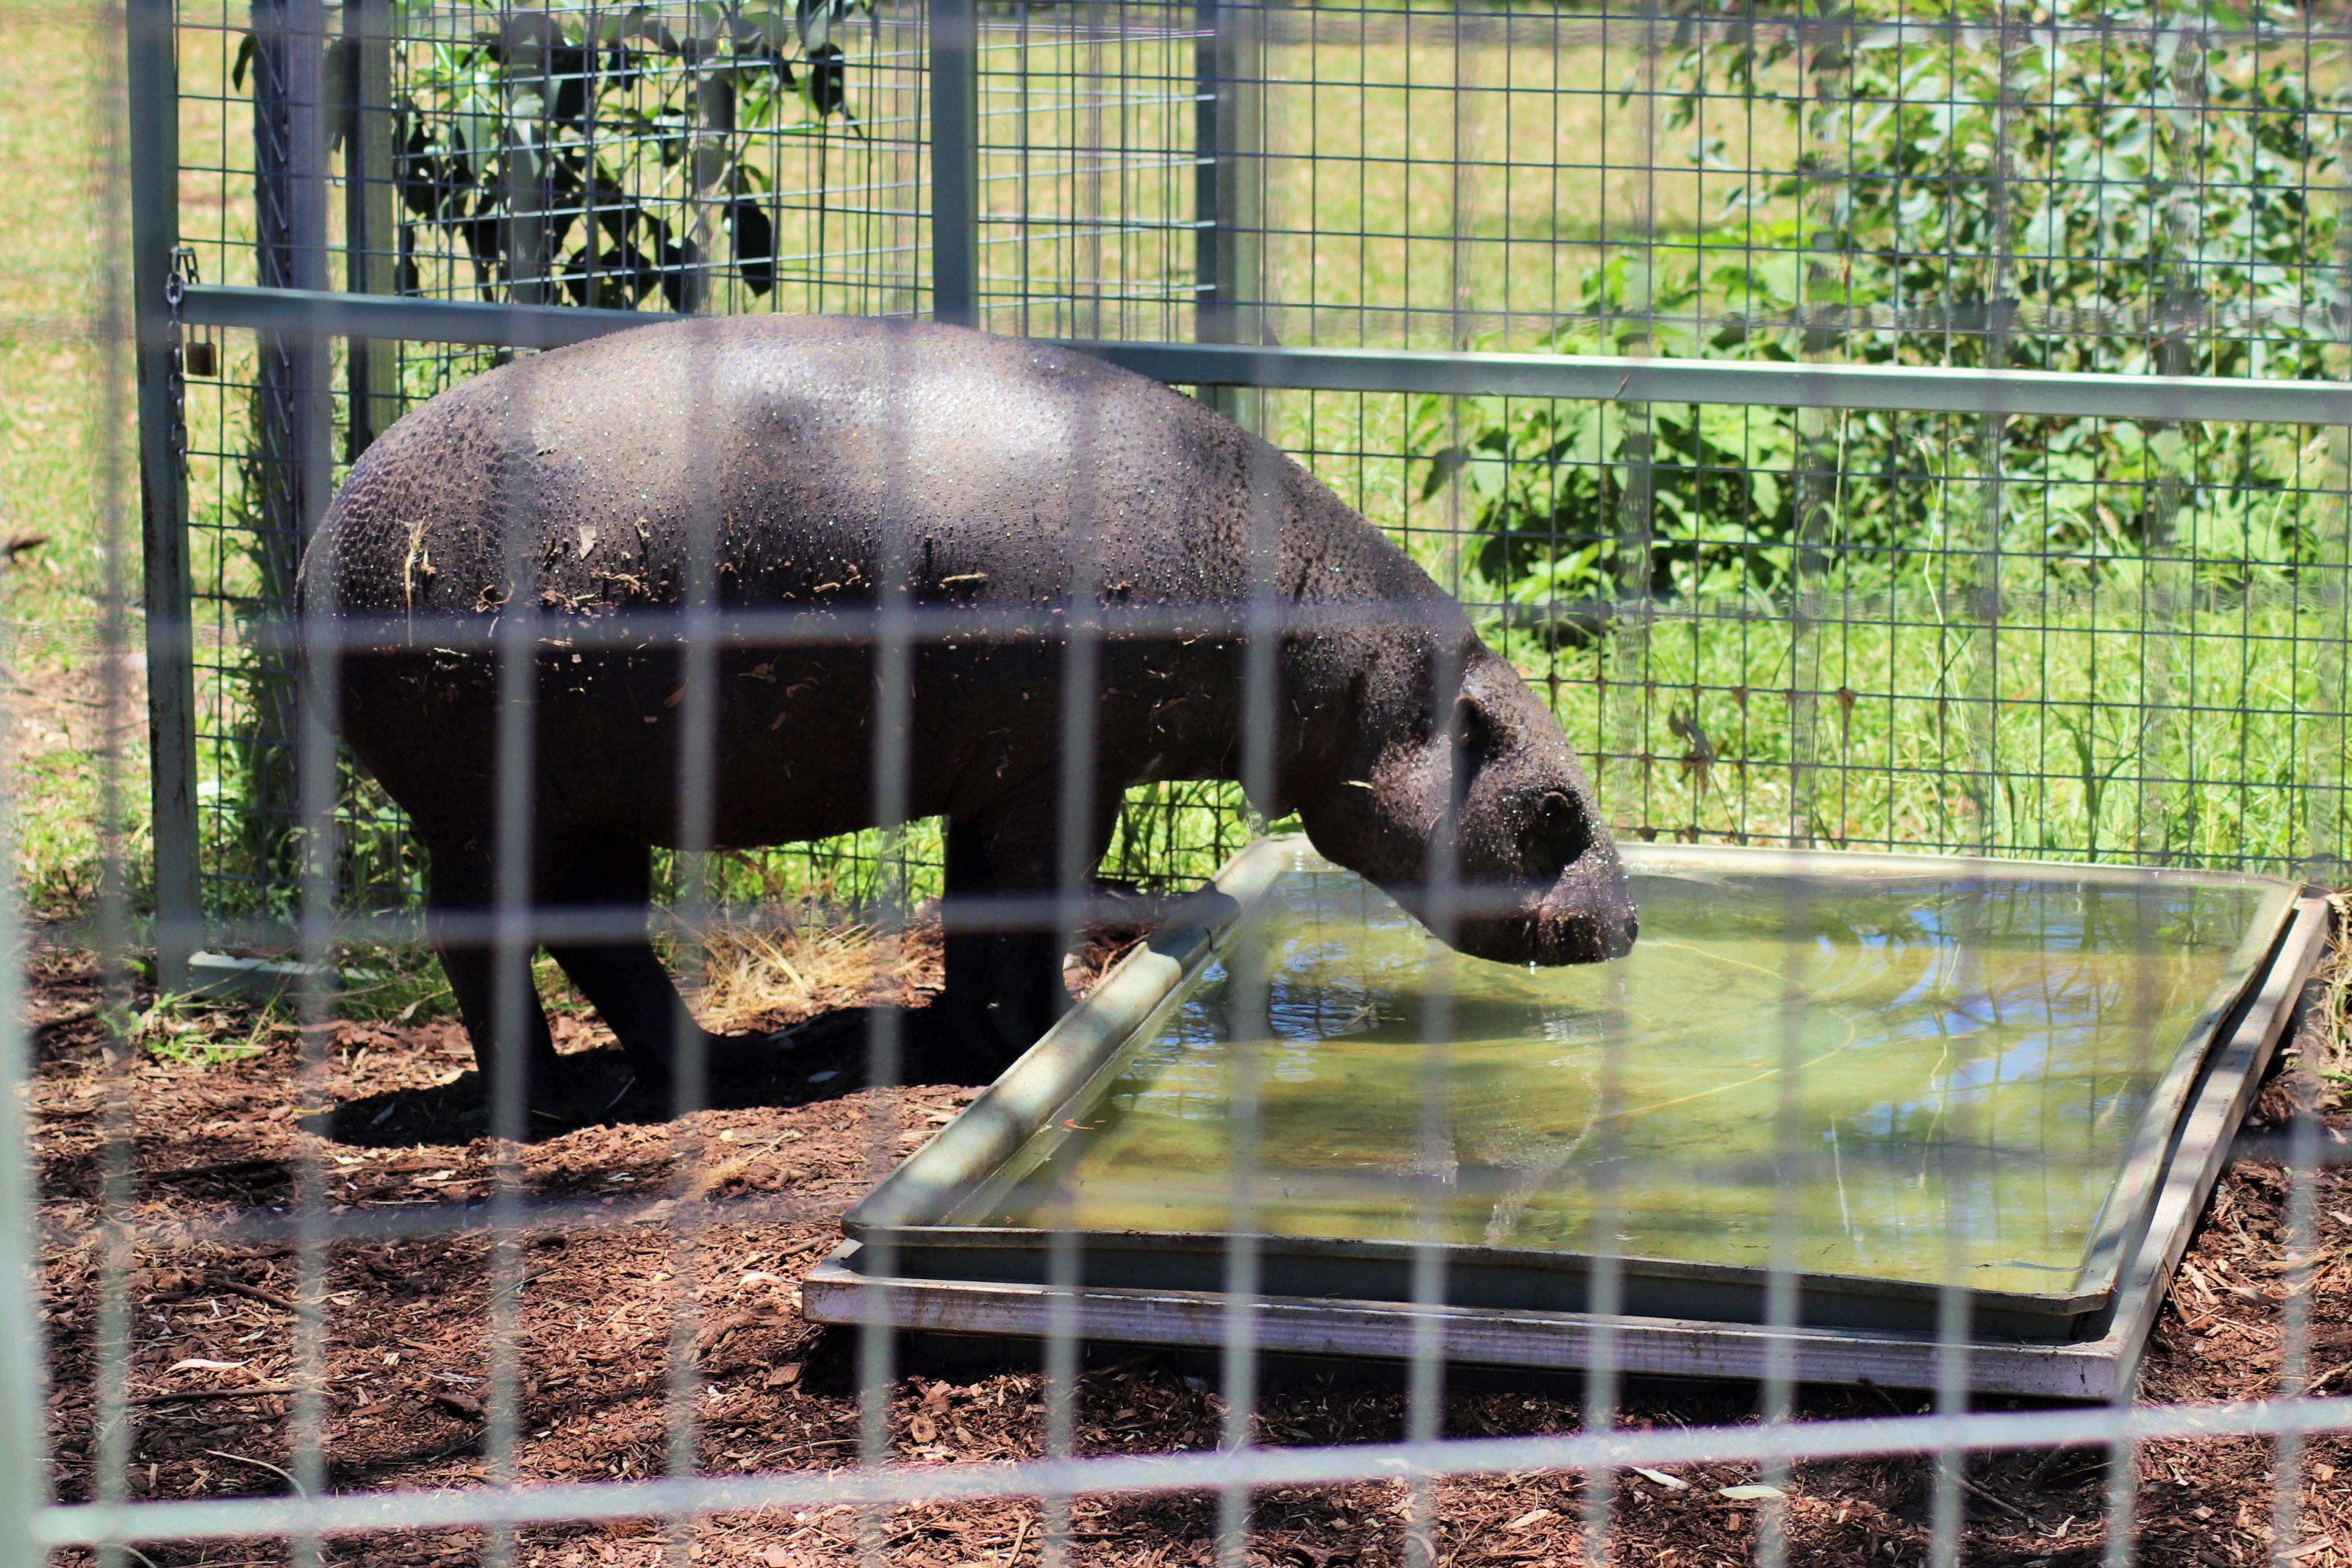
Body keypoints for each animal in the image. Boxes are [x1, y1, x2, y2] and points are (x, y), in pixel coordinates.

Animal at [298, 315, 1635, 1119]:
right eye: (1554, 808)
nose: (1628, 927)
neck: (1343, 666)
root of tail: (322, 544)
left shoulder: (999, 772)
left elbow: (978, 903)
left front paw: (985, 1037)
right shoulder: (1066, 770)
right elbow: (1026, 900)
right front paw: (1048, 1031)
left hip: (590, 805)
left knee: (599, 933)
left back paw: (712, 1065)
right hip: (491, 807)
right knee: (483, 935)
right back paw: (548, 1100)